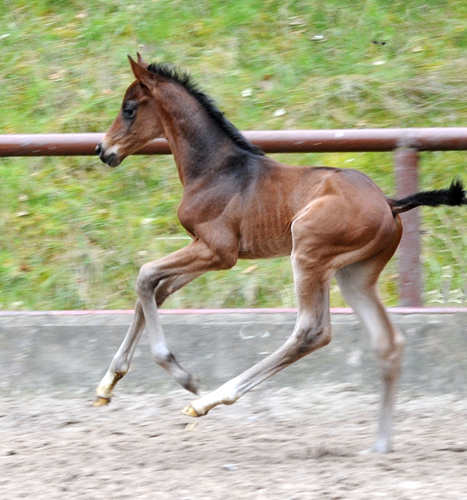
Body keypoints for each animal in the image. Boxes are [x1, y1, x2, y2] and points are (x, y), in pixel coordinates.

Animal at [96, 54, 467, 454]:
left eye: (129, 109)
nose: (103, 150)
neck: (215, 170)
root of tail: (389, 202)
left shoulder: (217, 251)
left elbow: (145, 276)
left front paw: (184, 377)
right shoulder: (208, 252)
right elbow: (155, 290)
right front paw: (107, 385)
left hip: (308, 253)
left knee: (312, 331)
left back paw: (208, 400)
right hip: (354, 274)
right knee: (388, 341)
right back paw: (380, 444)